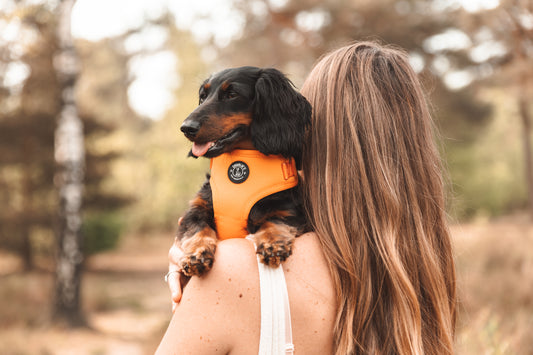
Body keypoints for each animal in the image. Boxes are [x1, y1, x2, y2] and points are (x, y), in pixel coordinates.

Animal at [177, 67, 310, 278]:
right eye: (203, 96)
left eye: (232, 94)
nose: (186, 128)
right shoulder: (196, 210)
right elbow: (198, 229)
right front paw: (196, 255)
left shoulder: (289, 210)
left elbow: (274, 222)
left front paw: (272, 244)